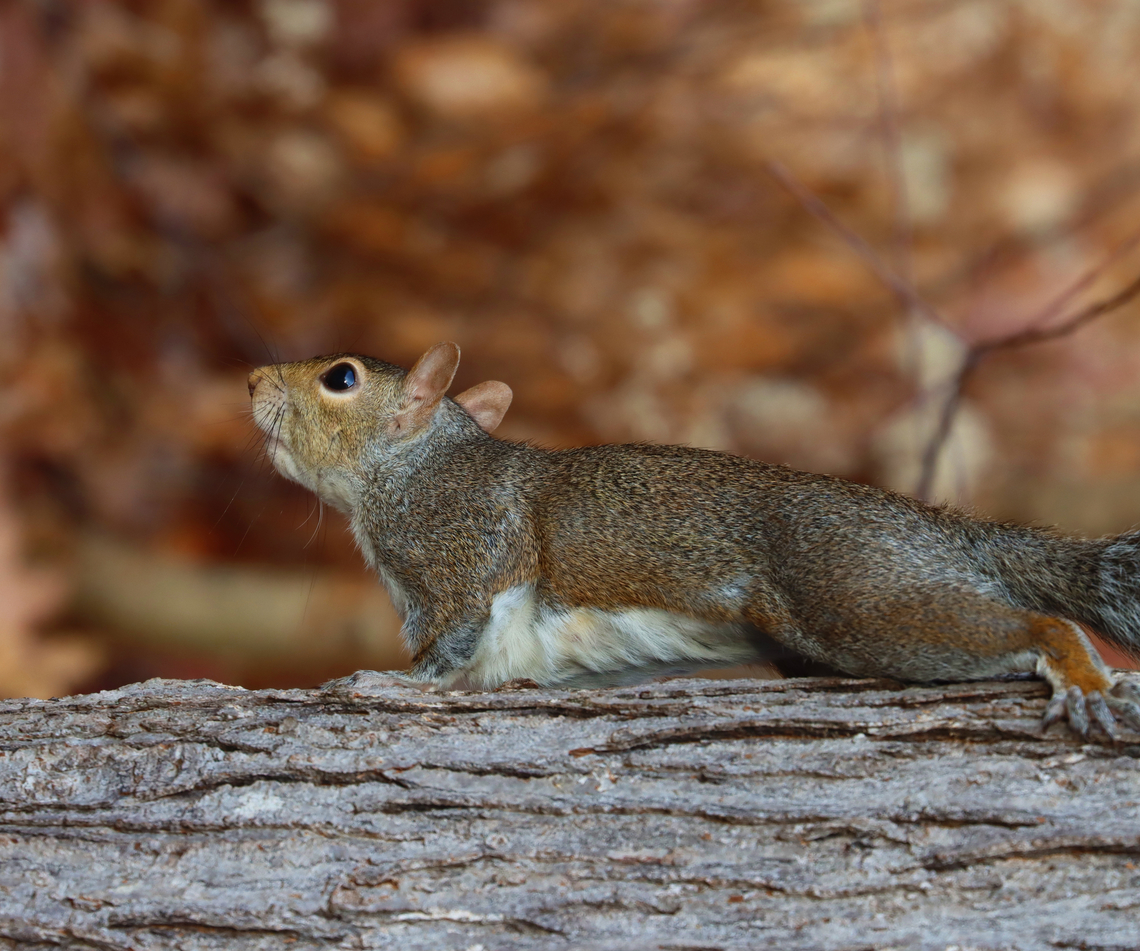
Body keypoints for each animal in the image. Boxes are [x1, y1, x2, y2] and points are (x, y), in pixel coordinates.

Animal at [248, 342, 1140, 739]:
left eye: (340, 377)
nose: (252, 379)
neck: (420, 466)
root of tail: (938, 526)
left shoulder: (463, 554)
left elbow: (445, 650)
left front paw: (376, 680)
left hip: (859, 590)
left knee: (1035, 622)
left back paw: (1078, 671)